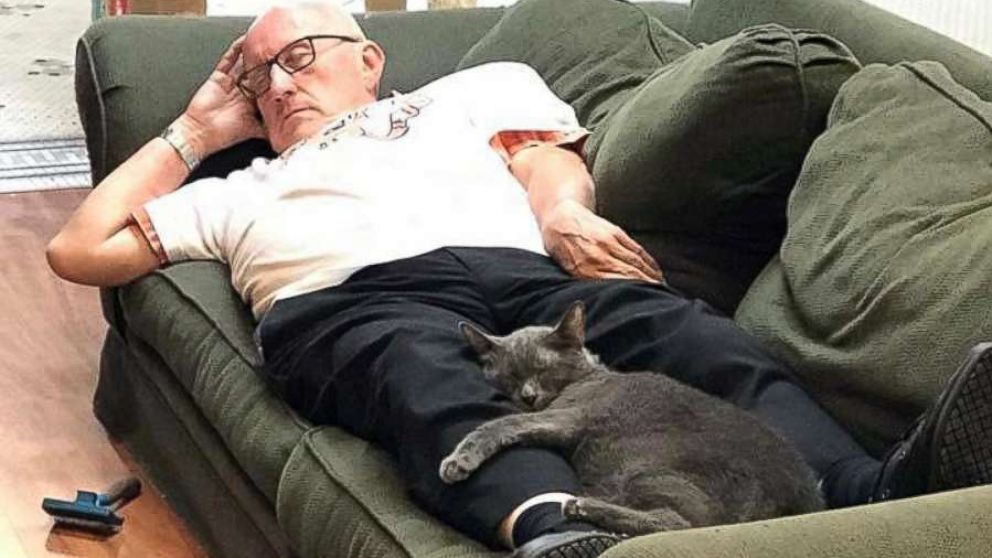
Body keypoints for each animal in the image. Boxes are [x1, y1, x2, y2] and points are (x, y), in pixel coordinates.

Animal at [440, 304, 820, 536]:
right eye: (510, 376)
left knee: (679, 524)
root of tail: (805, 505)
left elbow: (497, 424)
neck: (588, 376)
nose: (528, 395)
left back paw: (582, 506)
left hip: (649, 471)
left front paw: (457, 462)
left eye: (542, 369)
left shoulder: (568, 416)